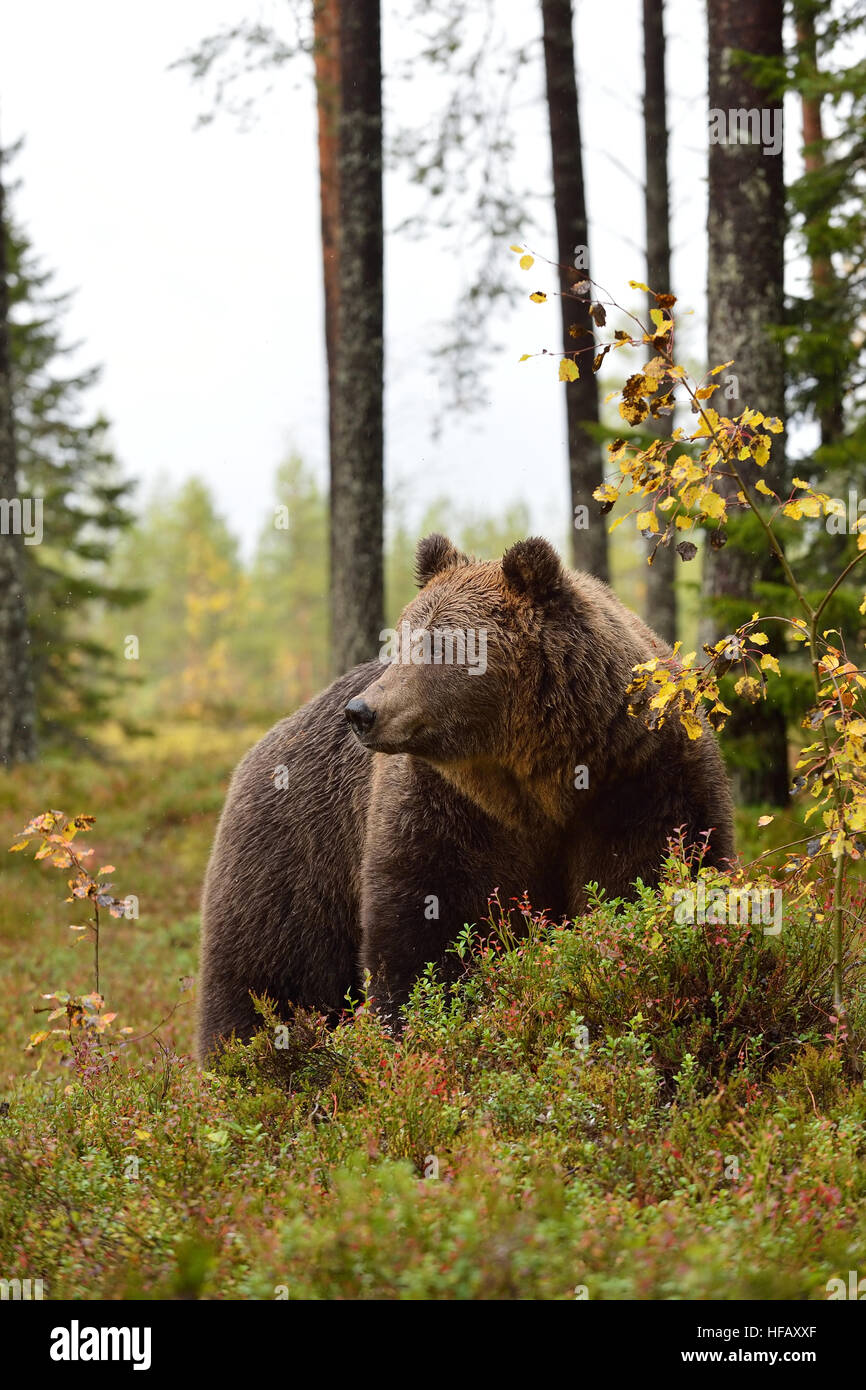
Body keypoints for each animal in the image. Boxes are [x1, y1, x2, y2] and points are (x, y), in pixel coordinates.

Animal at [196, 533, 734, 1059]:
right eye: (401, 638)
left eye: (440, 644)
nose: (361, 712)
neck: (541, 779)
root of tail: (254, 753)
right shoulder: (444, 807)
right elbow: (423, 926)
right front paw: (413, 1027)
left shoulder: (641, 780)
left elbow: (647, 878)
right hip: (295, 850)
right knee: (269, 971)